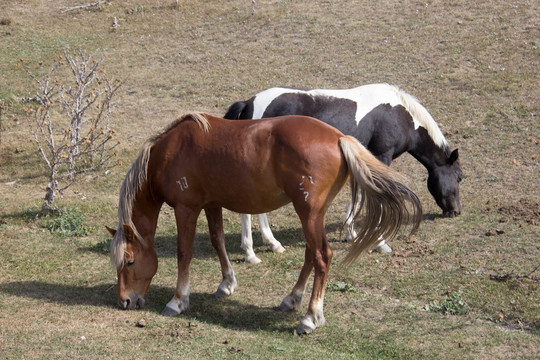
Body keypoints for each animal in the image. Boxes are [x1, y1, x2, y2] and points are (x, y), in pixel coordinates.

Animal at [108, 113, 422, 334]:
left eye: (130, 261)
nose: (124, 301)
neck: (170, 151)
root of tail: (339, 138)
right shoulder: (211, 204)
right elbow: (218, 240)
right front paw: (227, 284)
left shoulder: (187, 209)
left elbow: (184, 253)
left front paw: (177, 300)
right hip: (312, 216)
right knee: (311, 254)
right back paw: (292, 299)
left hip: (308, 213)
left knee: (322, 256)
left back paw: (310, 317)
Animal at [226, 84, 462, 264]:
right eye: (459, 176)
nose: (456, 211)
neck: (402, 115)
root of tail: (249, 102)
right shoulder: (382, 156)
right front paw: (380, 242)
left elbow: (358, 196)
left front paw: (351, 233)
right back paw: (250, 253)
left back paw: (272, 243)